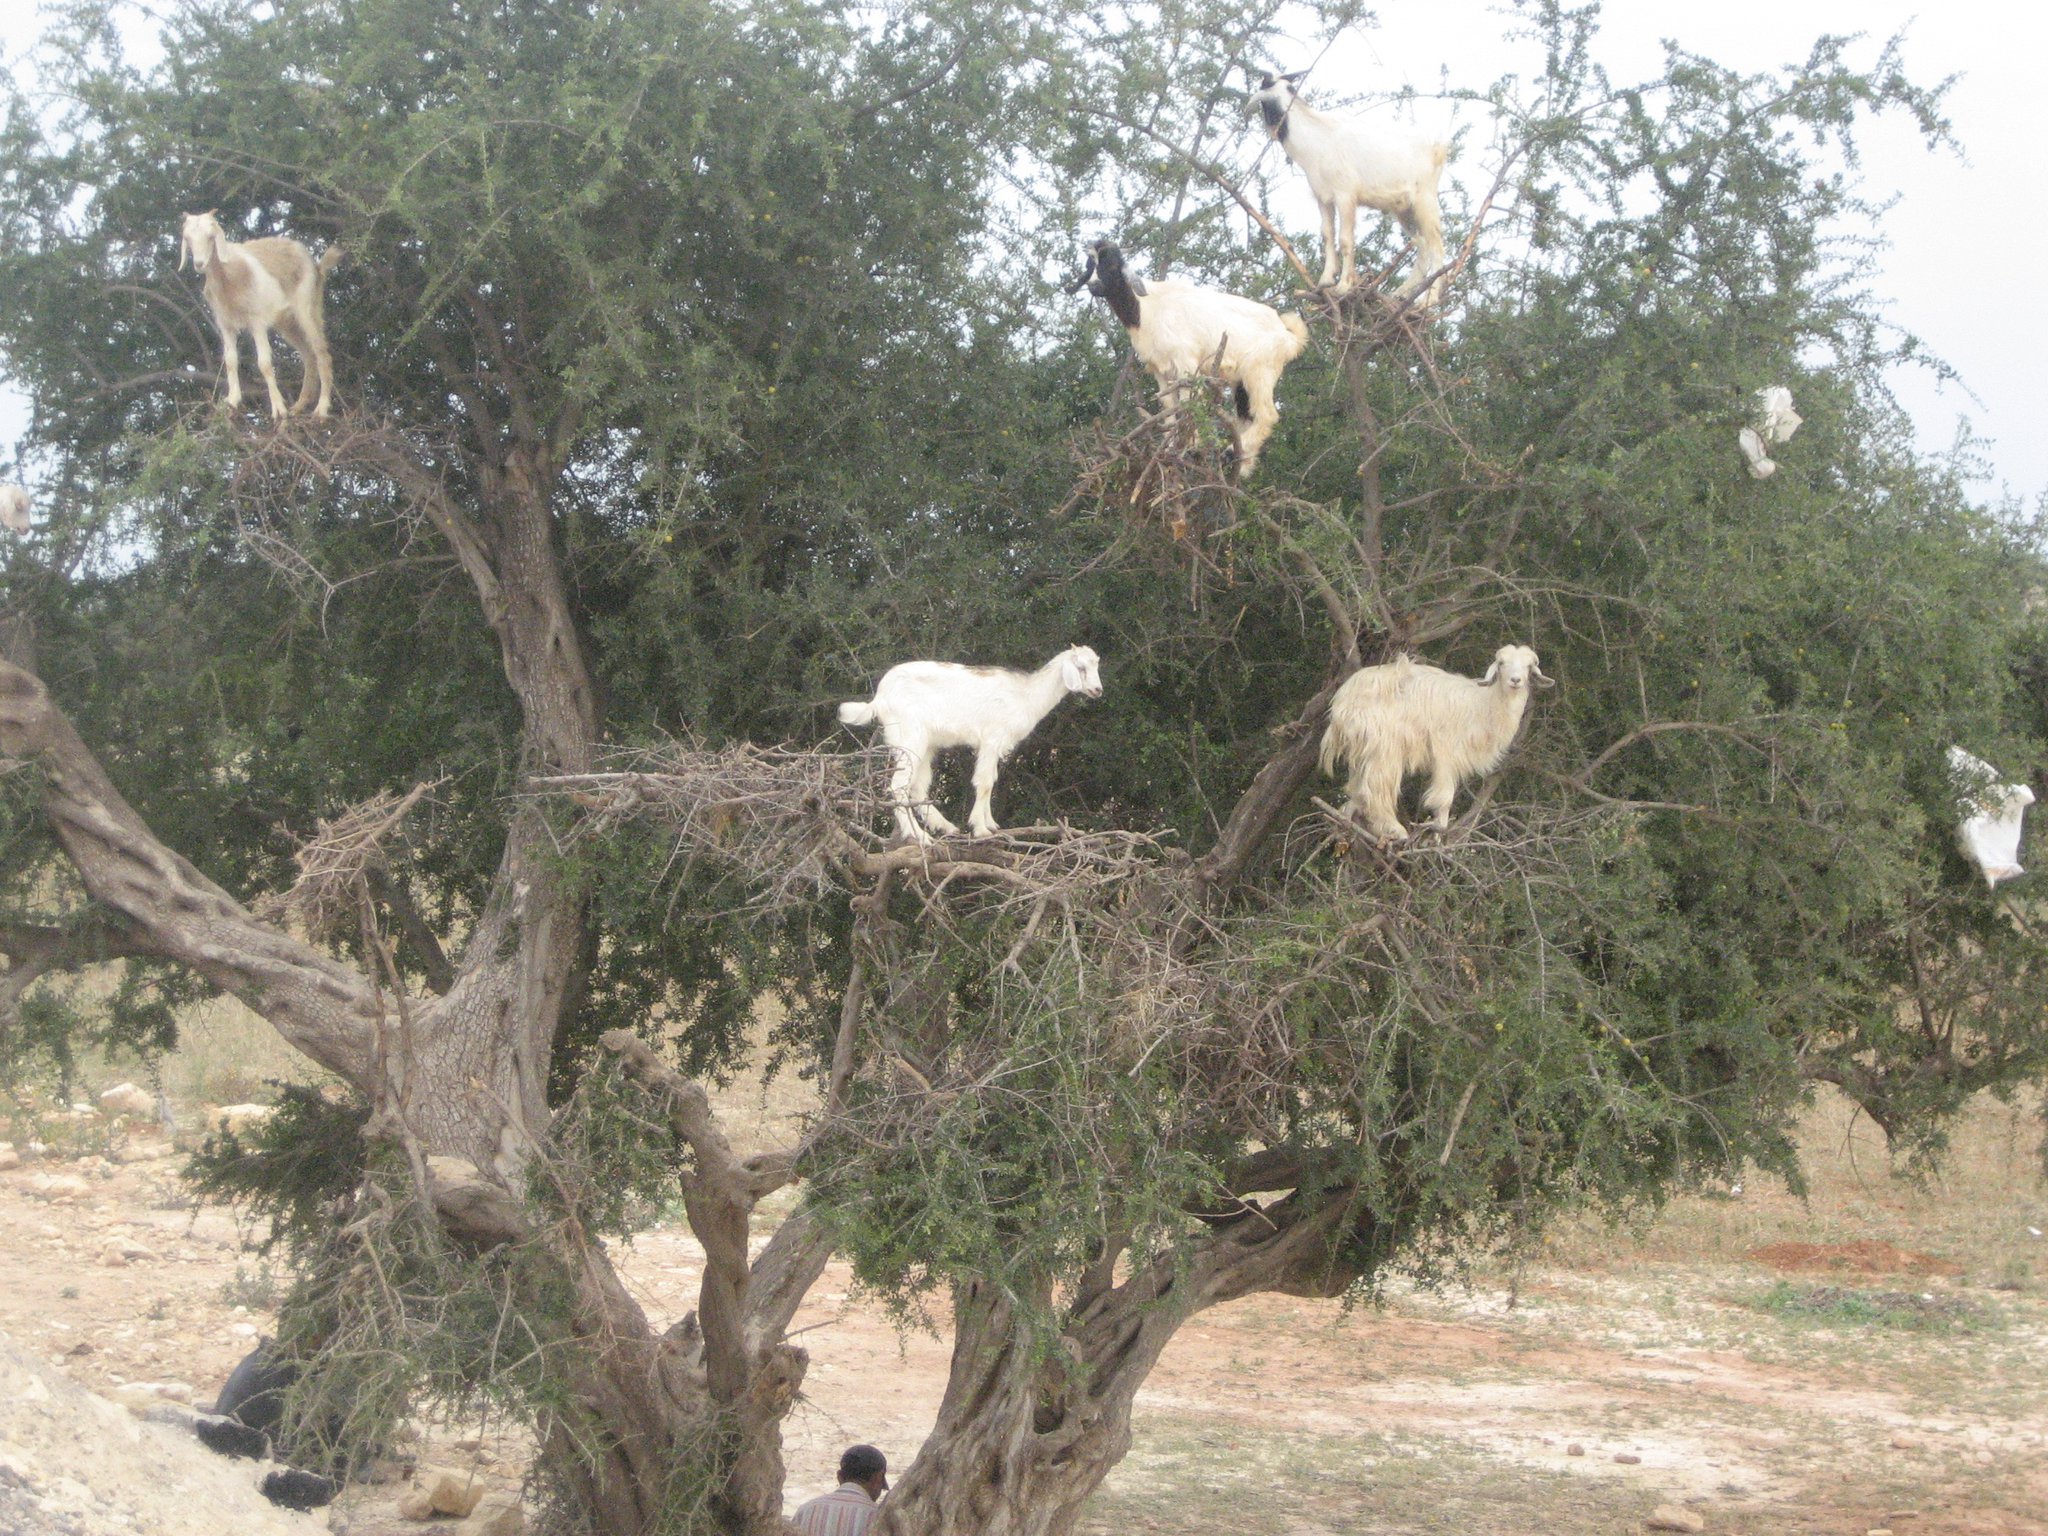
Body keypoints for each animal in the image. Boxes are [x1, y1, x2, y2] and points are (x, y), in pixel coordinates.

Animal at [179, 211, 341, 421]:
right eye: (188, 238)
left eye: (210, 236)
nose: (199, 264)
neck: (229, 277)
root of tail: (316, 265)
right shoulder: (225, 324)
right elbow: (230, 360)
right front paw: (232, 402)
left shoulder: (257, 322)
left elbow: (264, 363)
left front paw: (278, 409)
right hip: (286, 323)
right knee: (308, 355)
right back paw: (298, 406)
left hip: (306, 308)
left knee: (321, 352)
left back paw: (321, 409)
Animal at [839, 645, 1103, 842]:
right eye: (1080, 667)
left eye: (1096, 665)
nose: (1097, 690)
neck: (1025, 695)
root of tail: (880, 698)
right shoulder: (992, 738)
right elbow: (984, 782)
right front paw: (981, 828)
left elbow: (992, 780)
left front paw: (992, 824)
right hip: (910, 737)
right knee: (899, 786)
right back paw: (919, 836)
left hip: (925, 744)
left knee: (918, 788)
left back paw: (945, 826)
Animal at [1066, 239, 1307, 478]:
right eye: (1089, 265)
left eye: (1113, 265)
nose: (1094, 286)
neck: (1144, 311)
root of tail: (1289, 336)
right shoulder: (1160, 369)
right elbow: (1168, 406)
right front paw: (1171, 448)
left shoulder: (1186, 362)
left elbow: (1186, 404)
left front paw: (1189, 447)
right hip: (1243, 380)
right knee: (1246, 416)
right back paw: (1241, 463)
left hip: (1260, 371)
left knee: (1267, 415)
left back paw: (1230, 453)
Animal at [1248, 72, 1450, 303]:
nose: (1273, 130)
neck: (1316, 138)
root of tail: (1440, 148)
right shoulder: (1323, 198)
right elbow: (1327, 234)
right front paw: (1325, 281)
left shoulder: (1345, 195)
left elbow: (1345, 240)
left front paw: (1343, 286)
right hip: (1405, 210)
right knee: (1422, 245)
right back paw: (1402, 293)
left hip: (1425, 200)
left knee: (1437, 246)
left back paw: (1428, 301)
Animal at [1320, 644, 1553, 841]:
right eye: (1502, 663)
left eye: (1528, 666)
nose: (1515, 680)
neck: (1484, 705)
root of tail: (1341, 702)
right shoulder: (1447, 750)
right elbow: (1444, 797)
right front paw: (1439, 833)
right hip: (1384, 746)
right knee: (1376, 789)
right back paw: (1396, 830)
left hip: (1363, 747)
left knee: (1356, 787)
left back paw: (1345, 819)